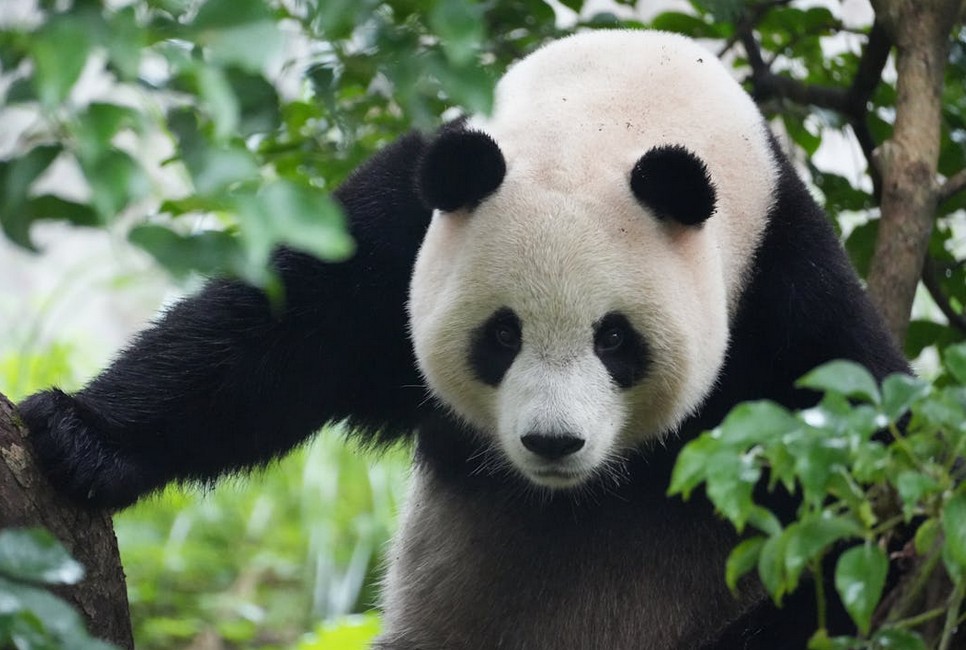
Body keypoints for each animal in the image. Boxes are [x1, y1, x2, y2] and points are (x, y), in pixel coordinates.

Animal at [21, 30, 907, 649]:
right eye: (502, 335)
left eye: (616, 340)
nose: (553, 442)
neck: (623, 105)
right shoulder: (406, 230)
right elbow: (269, 342)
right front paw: (80, 435)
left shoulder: (784, 303)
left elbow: (869, 508)